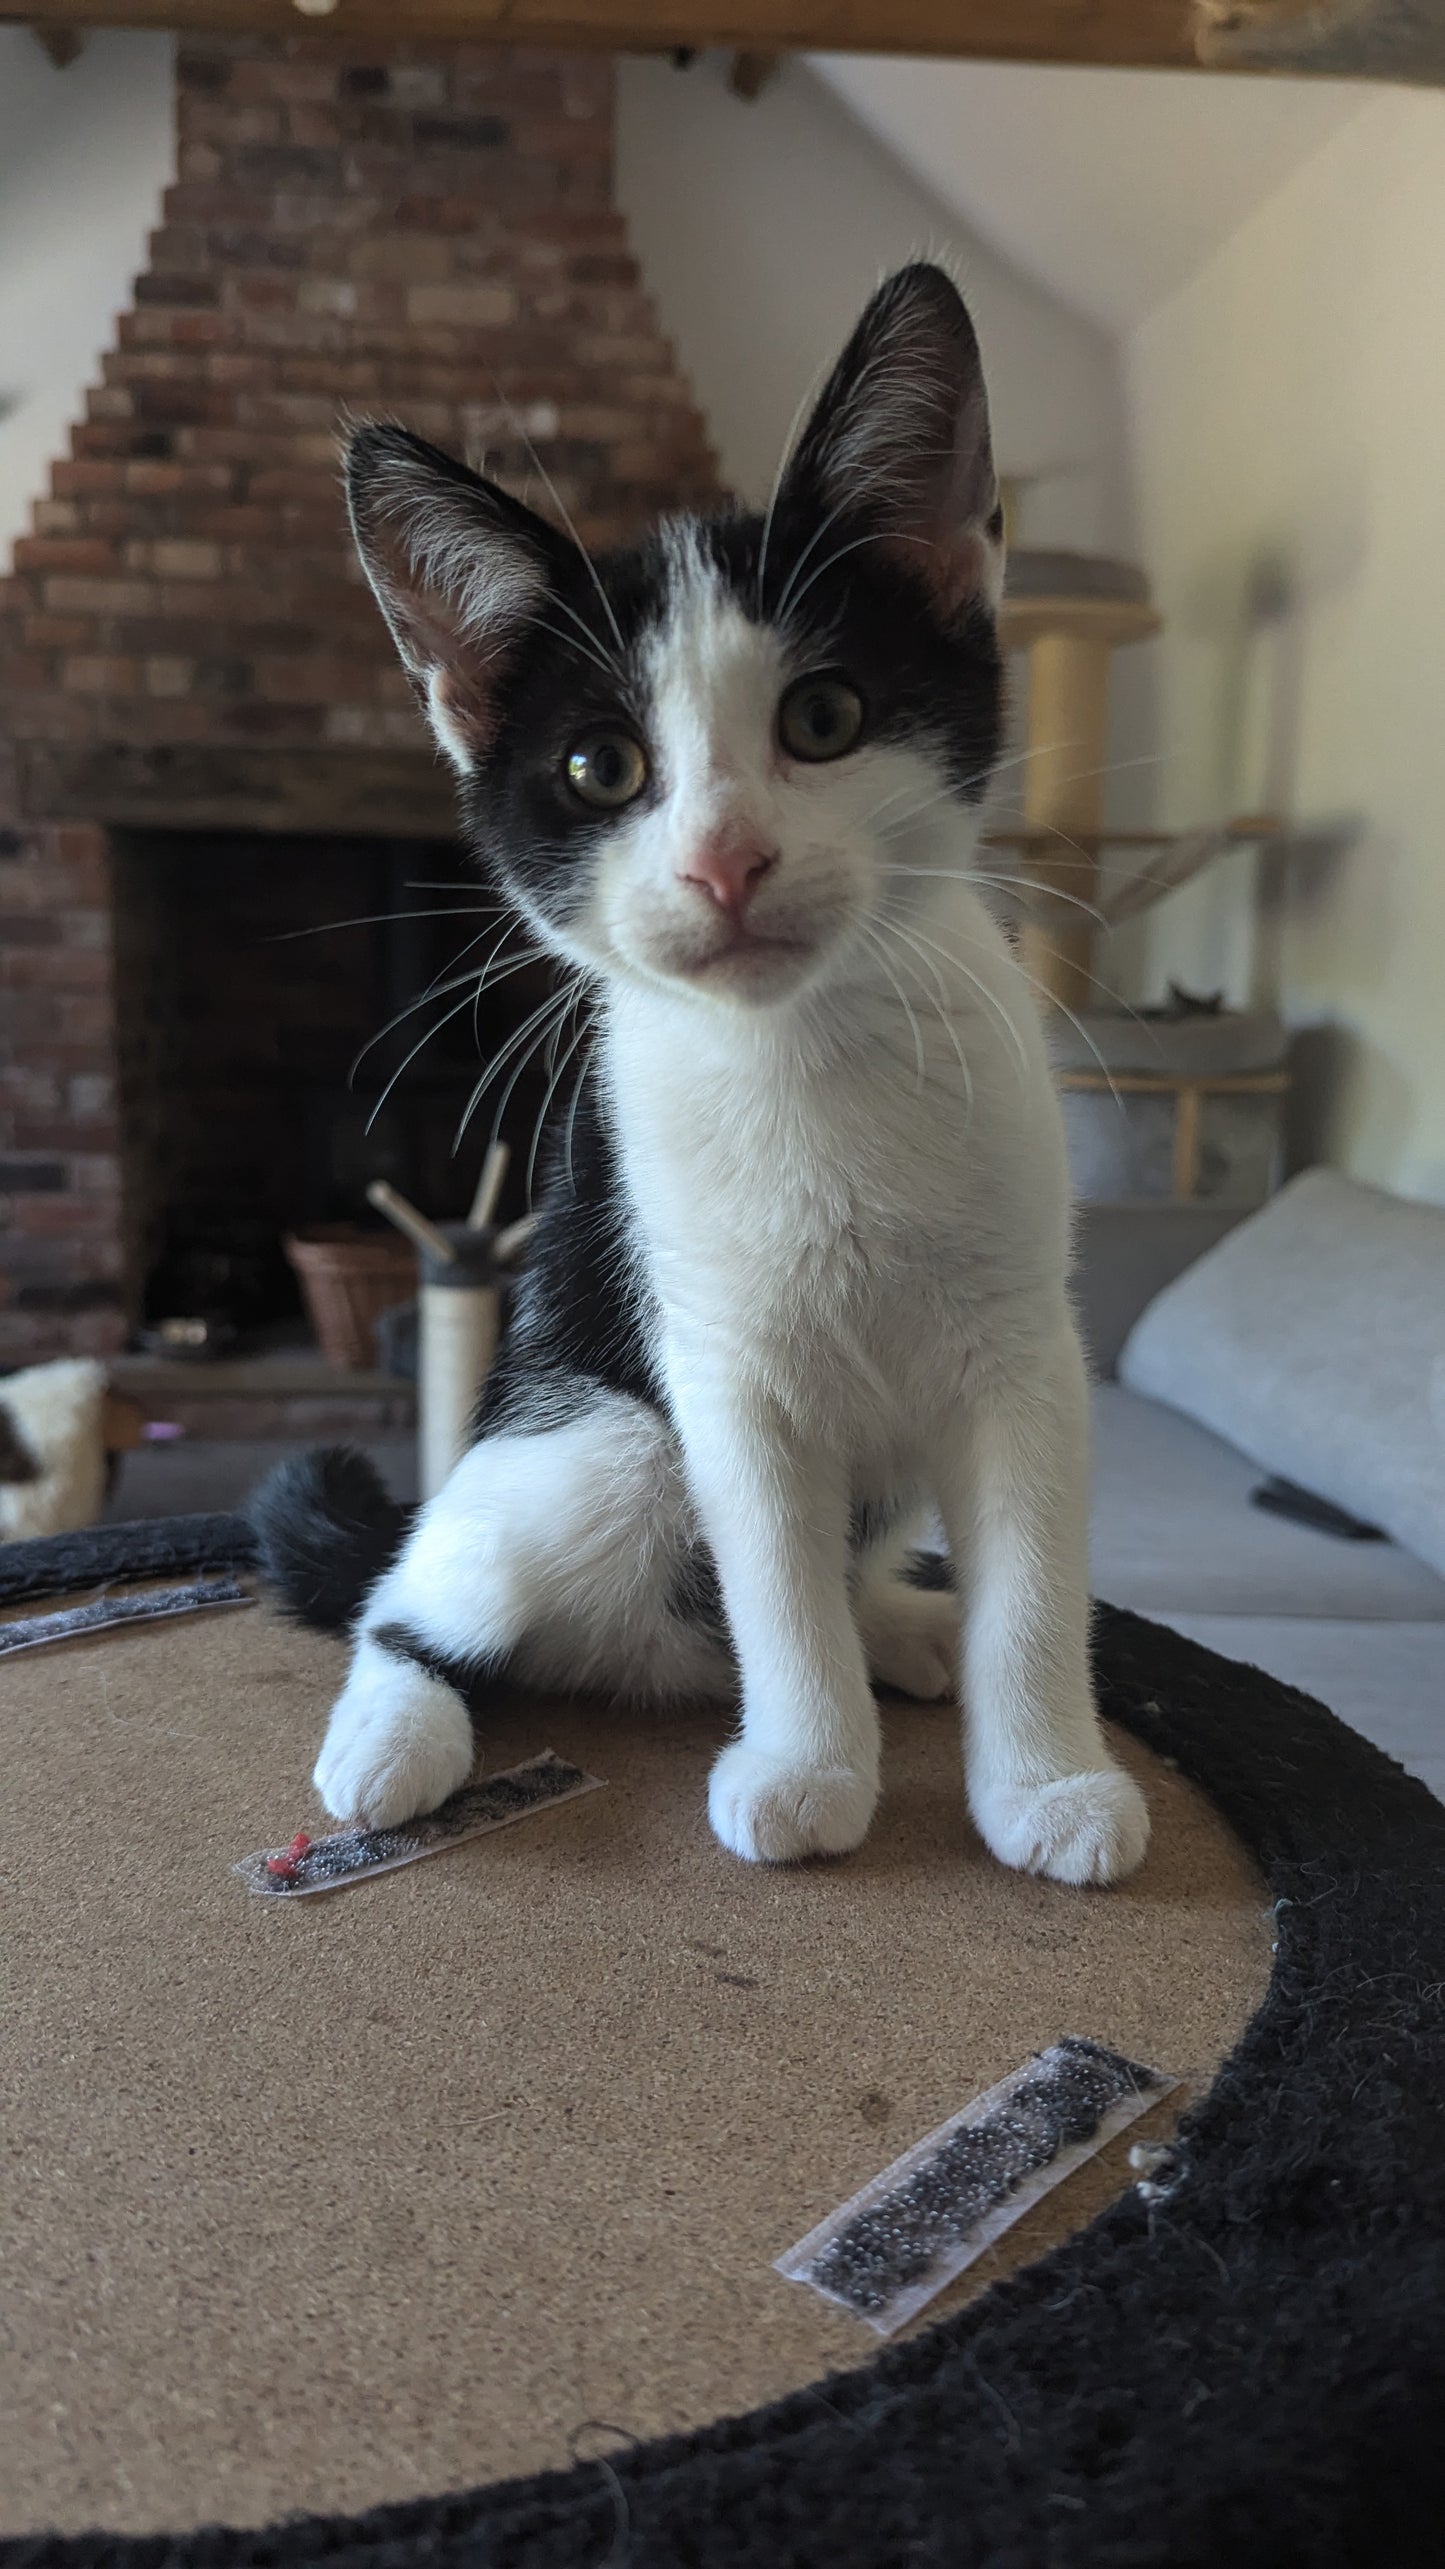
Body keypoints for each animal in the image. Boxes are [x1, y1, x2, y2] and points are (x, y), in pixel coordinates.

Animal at [253, 265, 1141, 1890]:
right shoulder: (719, 1359)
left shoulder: (1028, 1343)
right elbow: (772, 1576)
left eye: (825, 718)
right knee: (414, 1596)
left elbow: (1035, 1573)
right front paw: (808, 1770)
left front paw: (1048, 1777)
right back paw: (392, 1736)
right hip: (594, 1441)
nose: (727, 861)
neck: (808, 1054)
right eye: (600, 769)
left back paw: (903, 1618)